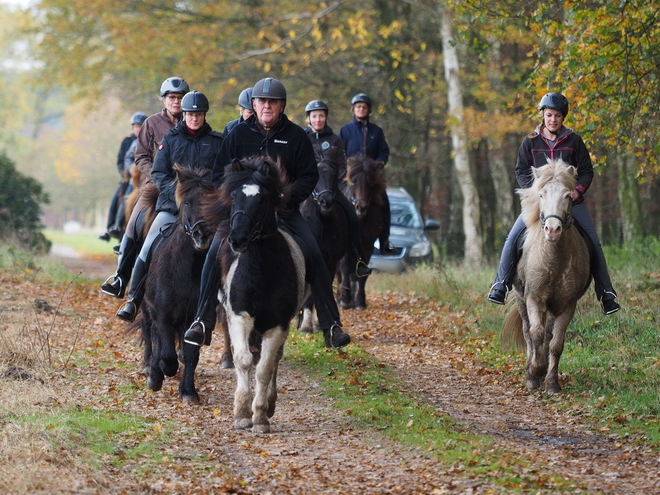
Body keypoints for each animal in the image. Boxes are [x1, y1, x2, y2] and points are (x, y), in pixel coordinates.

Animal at [137, 167, 214, 404]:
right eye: (187, 202)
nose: (202, 234)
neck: (188, 268)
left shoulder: (193, 319)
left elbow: (191, 355)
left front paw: (189, 391)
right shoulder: (163, 312)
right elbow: (166, 352)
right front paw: (161, 372)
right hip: (147, 308)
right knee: (151, 334)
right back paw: (150, 368)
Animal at [206, 156, 310, 434]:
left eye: (262, 199)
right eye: (233, 196)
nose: (237, 240)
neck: (262, 271)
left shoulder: (278, 325)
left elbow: (264, 368)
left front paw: (261, 416)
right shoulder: (239, 317)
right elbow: (243, 361)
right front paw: (242, 414)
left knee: (274, 361)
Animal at [300, 155, 350, 334]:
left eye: (334, 177)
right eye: (315, 177)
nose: (326, 201)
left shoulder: (330, 261)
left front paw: (316, 322)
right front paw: (306, 325)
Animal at [336, 155, 386, 310]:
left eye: (370, 183)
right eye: (353, 181)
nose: (361, 208)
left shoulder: (368, 245)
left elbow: (362, 272)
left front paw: (360, 301)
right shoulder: (346, 246)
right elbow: (344, 268)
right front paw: (345, 299)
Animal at [500, 161, 592, 394]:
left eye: (568, 196)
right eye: (541, 195)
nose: (553, 230)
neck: (554, 259)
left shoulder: (567, 304)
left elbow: (556, 343)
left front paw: (552, 382)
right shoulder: (534, 298)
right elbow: (535, 334)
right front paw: (535, 374)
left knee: (548, 334)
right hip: (521, 298)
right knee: (528, 331)